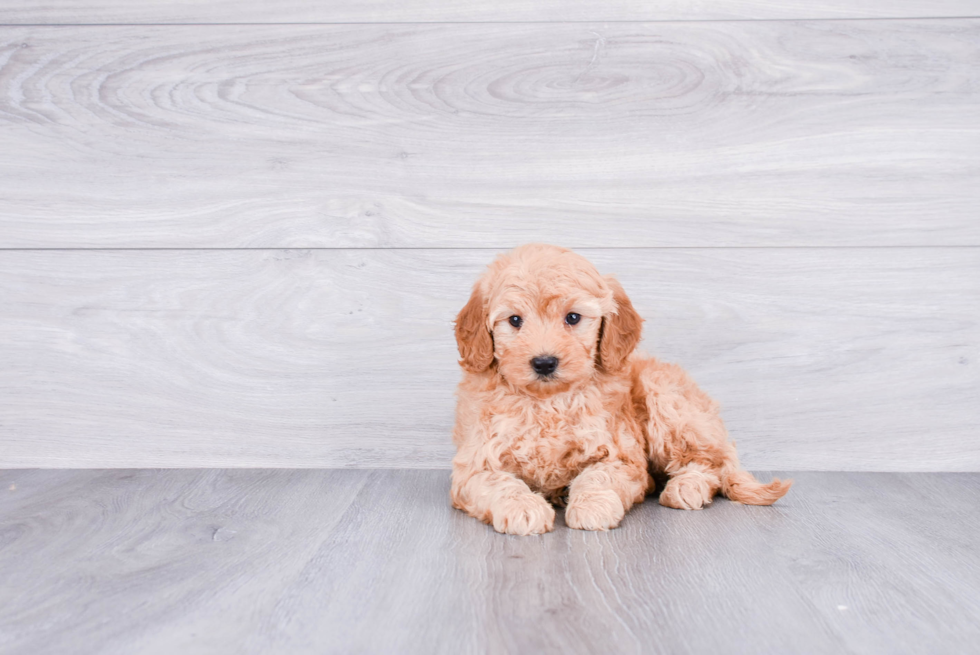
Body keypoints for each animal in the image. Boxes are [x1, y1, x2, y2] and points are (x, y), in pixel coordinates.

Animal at [450, 243, 788, 536]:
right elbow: (496, 482)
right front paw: (523, 507)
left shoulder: (623, 457)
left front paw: (591, 506)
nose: (544, 363)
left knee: (709, 463)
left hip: (665, 399)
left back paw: (685, 487)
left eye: (573, 317)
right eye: (515, 320)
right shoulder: (473, 464)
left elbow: (599, 476)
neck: (549, 402)